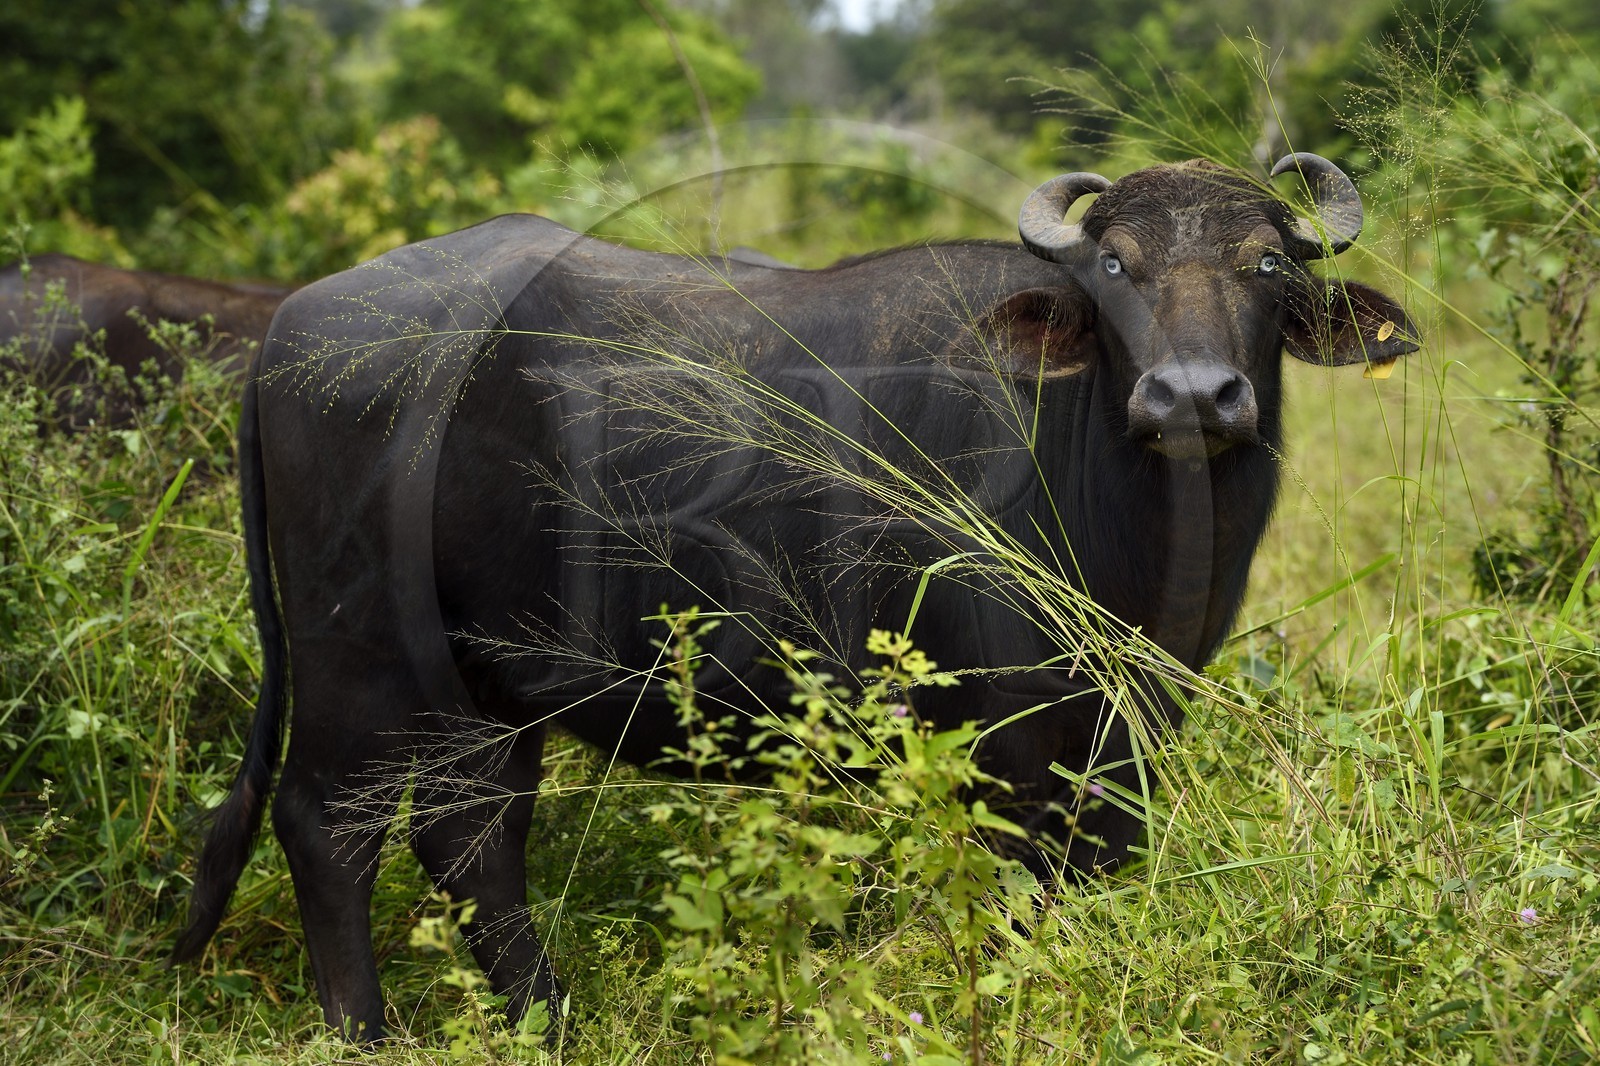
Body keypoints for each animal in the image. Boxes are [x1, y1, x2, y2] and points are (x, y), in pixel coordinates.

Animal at [173, 154, 1417, 1039]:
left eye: (1266, 267)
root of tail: (289, 333)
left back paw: (546, 1020)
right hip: (355, 655)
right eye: (1115, 268)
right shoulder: (1004, 736)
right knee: (325, 825)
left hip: (485, 680)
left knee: (472, 832)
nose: (1190, 395)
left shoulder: (1130, 732)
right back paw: (365, 1032)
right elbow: (1022, 897)